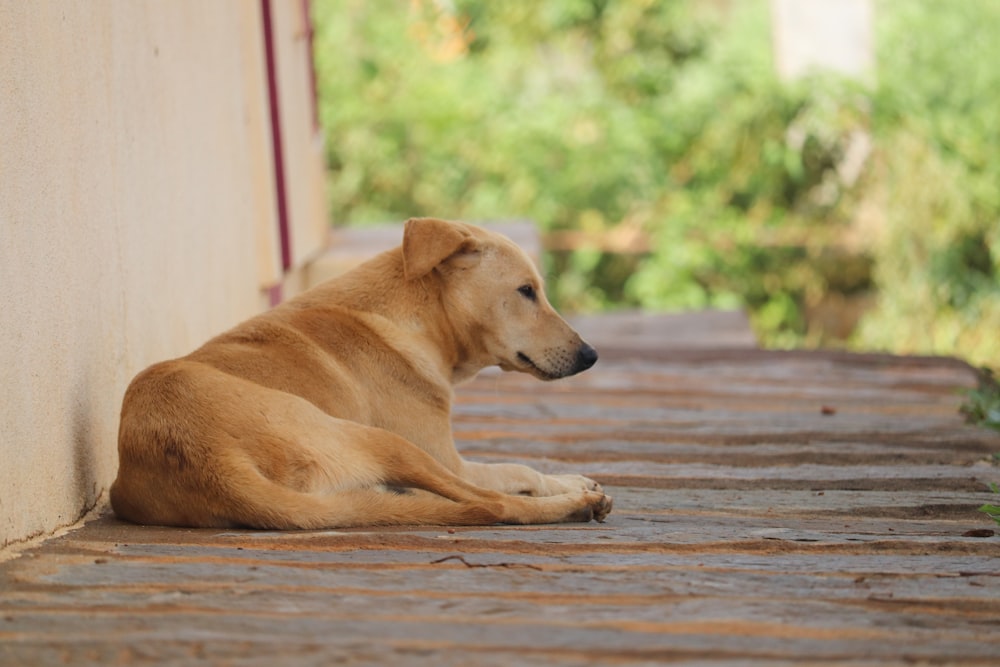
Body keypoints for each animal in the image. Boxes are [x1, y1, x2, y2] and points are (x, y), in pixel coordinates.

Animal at [109, 217, 608, 528]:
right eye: (527, 291)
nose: (591, 355)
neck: (413, 318)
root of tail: (215, 466)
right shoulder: (451, 460)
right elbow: (519, 470)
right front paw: (570, 484)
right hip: (386, 443)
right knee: (491, 505)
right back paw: (576, 506)